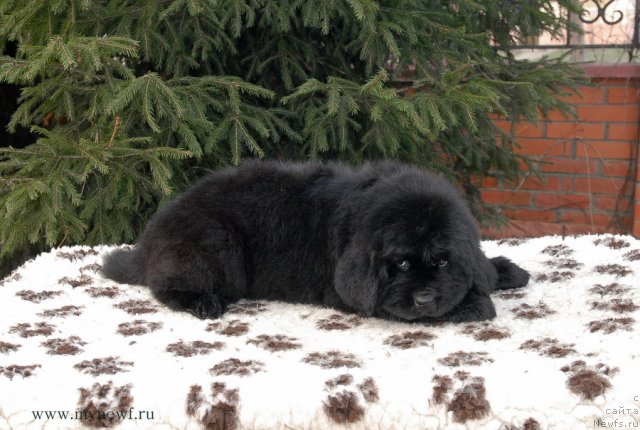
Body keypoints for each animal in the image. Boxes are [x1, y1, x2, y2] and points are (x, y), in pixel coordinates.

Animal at [101, 161, 528, 322]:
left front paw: (503, 271)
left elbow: (482, 267)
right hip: (213, 243)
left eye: (442, 260)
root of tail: (149, 242)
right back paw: (204, 302)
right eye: (401, 264)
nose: (424, 298)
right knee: (166, 285)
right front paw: (476, 303)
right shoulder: (352, 293)